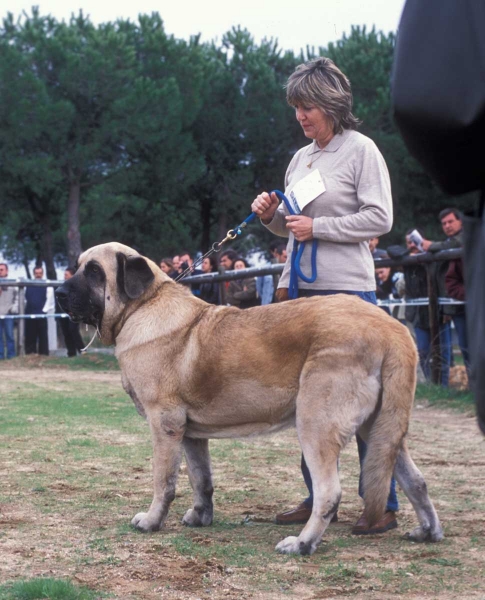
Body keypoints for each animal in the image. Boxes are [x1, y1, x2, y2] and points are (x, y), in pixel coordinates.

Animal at [55, 241, 442, 556]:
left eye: (94, 272)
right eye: (77, 266)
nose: (58, 293)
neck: (141, 307)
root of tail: (391, 329)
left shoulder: (164, 426)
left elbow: (164, 482)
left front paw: (151, 521)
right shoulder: (190, 433)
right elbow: (202, 480)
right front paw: (200, 517)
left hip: (316, 423)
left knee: (329, 492)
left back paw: (302, 544)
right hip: (381, 427)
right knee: (415, 479)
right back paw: (427, 531)